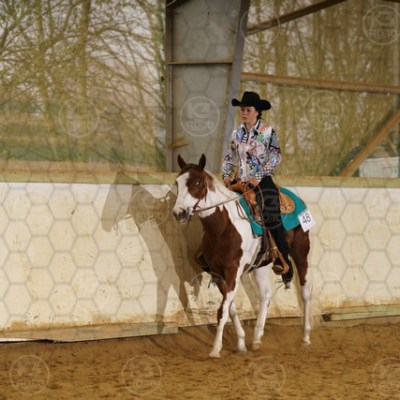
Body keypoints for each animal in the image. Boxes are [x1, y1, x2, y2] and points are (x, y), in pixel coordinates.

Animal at [172, 154, 312, 358]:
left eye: (197, 182)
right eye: (177, 183)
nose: (179, 213)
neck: (223, 226)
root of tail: (296, 199)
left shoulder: (233, 270)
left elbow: (222, 311)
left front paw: (215, 349)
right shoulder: (218, 273)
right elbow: (229, 308)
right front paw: (240, 343)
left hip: (301, 255)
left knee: (305, 292)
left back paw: (306, 338)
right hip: (262, 265)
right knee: (265, 296)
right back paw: (256, 339)